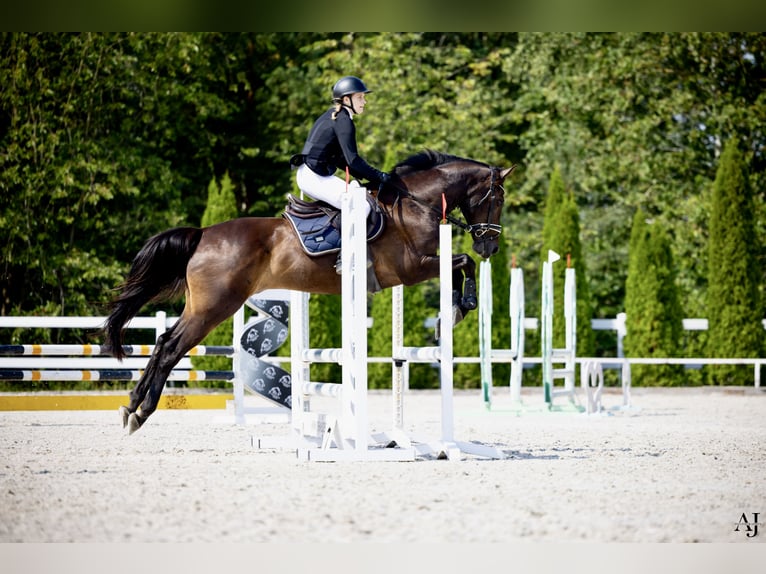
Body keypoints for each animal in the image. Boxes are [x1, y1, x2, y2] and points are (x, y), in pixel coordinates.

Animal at [104, 150, 515, 433]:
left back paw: (131, 405)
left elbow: (460, 265)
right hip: (214, 307)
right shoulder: (411, 269)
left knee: (162, 342)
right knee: (172, 347)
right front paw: (461, 306)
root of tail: (203, 234)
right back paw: (141, 412)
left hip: (201, 306)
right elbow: (462, 263)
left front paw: (453, 312)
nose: (491, 246)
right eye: (497, 199)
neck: (417, 204)